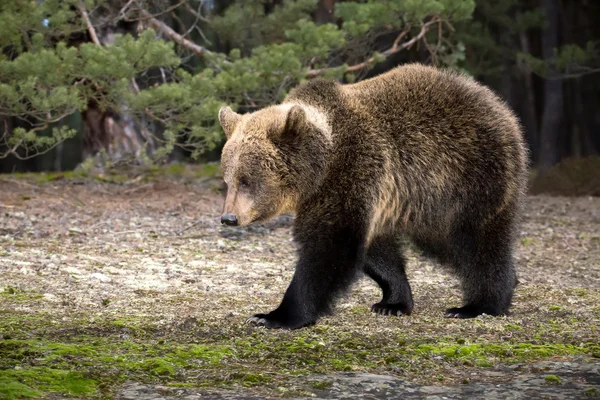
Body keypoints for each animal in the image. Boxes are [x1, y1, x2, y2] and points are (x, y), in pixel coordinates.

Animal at [218, 62, 528, 330]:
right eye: (228, 180)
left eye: (247, 180)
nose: (229, 217)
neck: (321, 163)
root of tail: (501, 108)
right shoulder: (371, 195)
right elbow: (374, 249)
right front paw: (393, 302)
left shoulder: (353, 171)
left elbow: (330, 245)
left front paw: (275, 315)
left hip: (470, 177)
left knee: (475, 241)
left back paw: (478, 305)